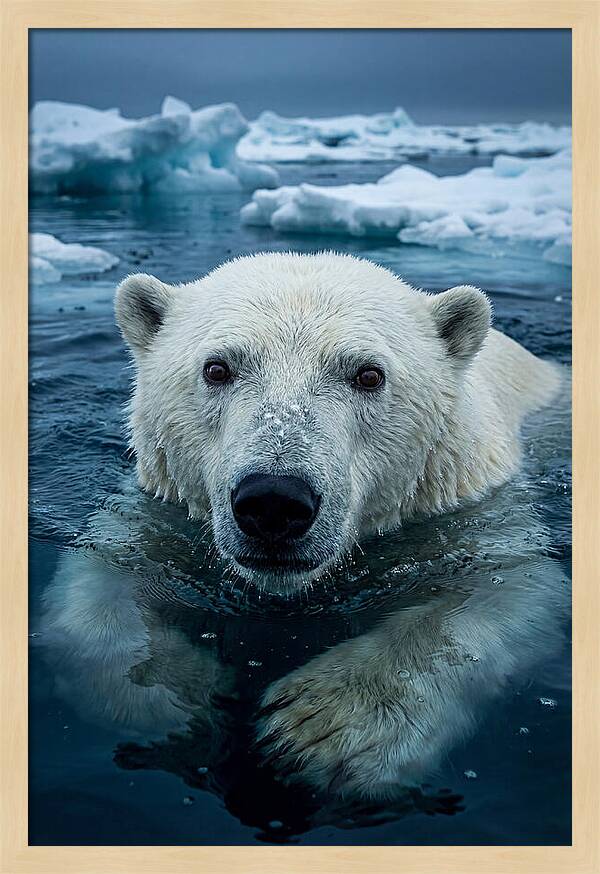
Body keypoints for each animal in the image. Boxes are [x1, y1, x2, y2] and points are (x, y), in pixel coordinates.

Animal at [38, 252, 567, 817]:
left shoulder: (472, 511)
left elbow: (506, 590)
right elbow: (102, 582)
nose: (274, 501)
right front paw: (179, 697)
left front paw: (322, 728)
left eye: (368, 374)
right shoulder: (159, 512)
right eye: (217, 368)